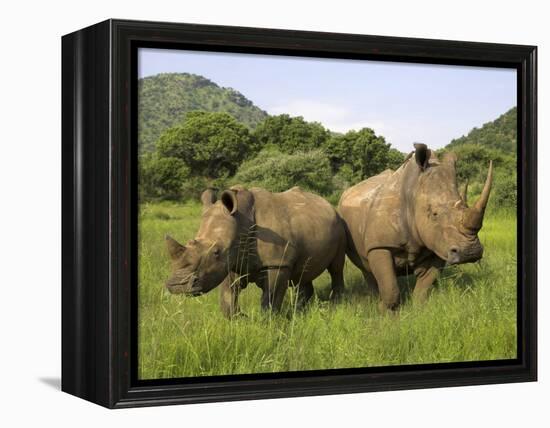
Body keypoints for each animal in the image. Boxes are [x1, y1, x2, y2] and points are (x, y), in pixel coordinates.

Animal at [164, 186, 348, 316]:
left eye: (216, 252)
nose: (177, 286)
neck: (241, 221)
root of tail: (329, 205)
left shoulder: (277, 263)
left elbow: (271, 298)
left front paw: (269, 322)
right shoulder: (232, 261)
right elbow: (228, 297)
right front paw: (240, 318)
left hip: (340, 224)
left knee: (336, 267)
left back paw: (336, 303)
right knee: (303, 273)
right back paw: (300, 310)